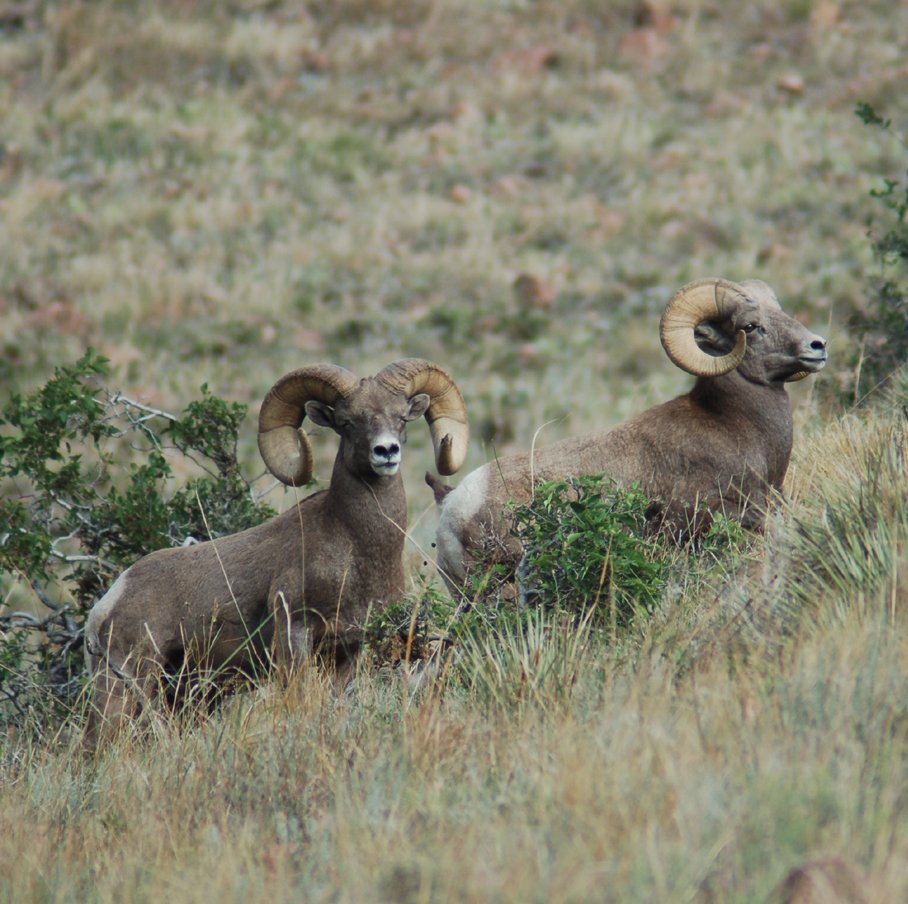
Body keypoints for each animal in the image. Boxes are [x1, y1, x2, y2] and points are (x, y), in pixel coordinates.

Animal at [84, 358, 469, 739]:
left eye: (402, 418)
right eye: (347, 423)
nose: (386, 452)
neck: (356, 548)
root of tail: (108, 603)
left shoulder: (347, 650)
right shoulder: (293, 634)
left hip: (183, 693)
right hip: (124, 684)